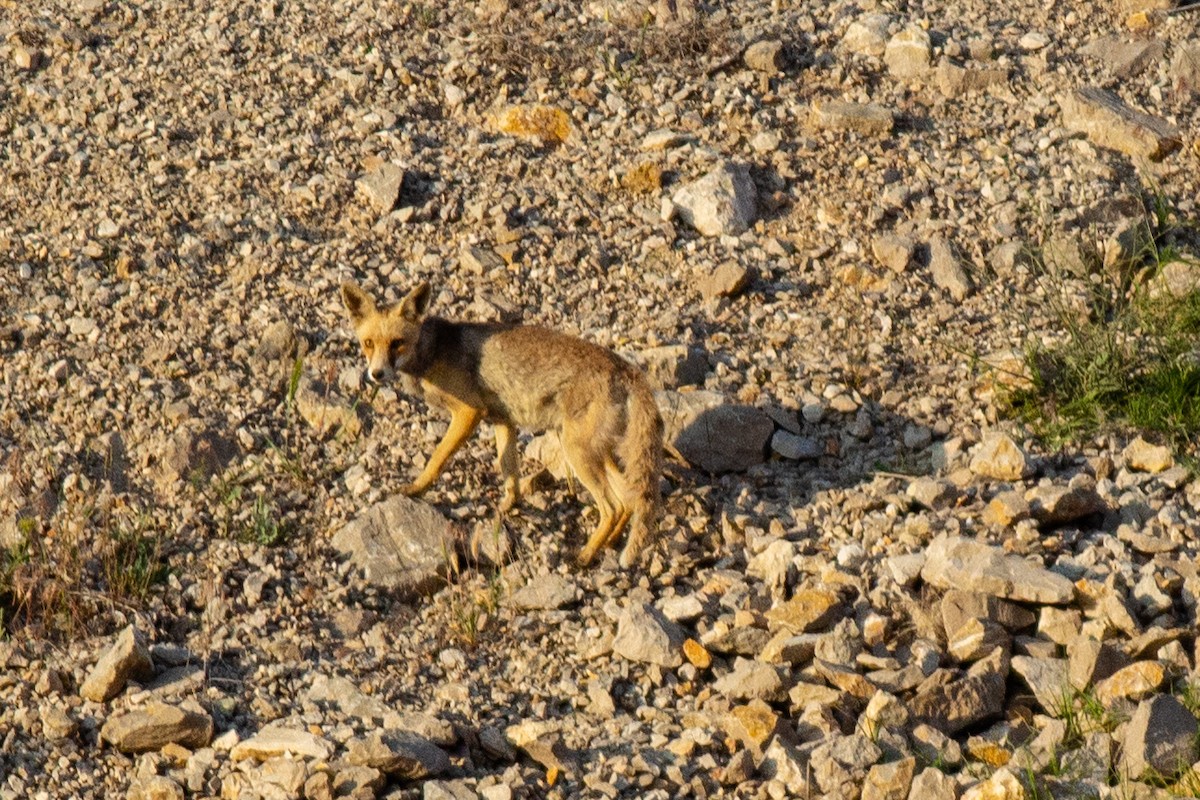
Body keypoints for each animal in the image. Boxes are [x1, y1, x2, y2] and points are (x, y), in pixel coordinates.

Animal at [340, 280, 664, 568]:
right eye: (368, 344)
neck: (433, 351)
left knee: (613, 507)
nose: (376, 374)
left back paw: (585, 556)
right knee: (630, 501)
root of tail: (629, 371)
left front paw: (416, 489)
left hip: (577, 453)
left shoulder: (469, 413)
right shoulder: (502, 421)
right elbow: (509, 471)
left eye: (397, 343)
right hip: (594, 452)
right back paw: (610, 543)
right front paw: (507, 508)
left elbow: (437, 458)